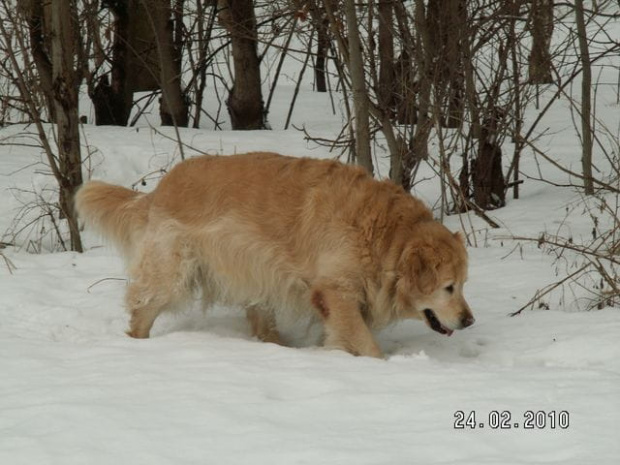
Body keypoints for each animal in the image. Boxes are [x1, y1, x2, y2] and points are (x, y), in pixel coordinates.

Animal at [77, 151, 474, 356]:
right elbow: (365, 342)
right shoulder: (335, 291)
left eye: (463, 284)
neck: (385, 235)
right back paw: (136, 347)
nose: (469, 321)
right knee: (142, 311)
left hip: (258, 273)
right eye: (449, 287)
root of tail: (158, 190)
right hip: (173, 273)